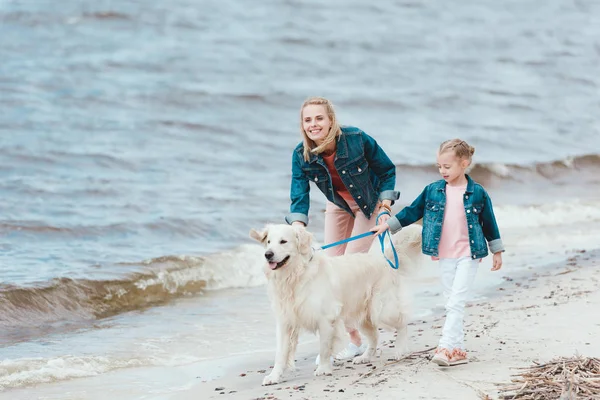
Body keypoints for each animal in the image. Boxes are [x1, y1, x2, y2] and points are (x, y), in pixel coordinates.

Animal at [248, 223, 422, 386]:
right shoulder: (285, 321)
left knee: (402, 324)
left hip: (382, 309)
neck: (295, 275)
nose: (267, 254)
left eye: (283, 241)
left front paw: (323, 368)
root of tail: (385, 260)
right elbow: (281, 353)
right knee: (374, 336)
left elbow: (324, 347)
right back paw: (365, 357)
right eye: (268, 242)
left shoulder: (325, 318)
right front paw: (273, 376)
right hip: (364, 315)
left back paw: (399, 350)